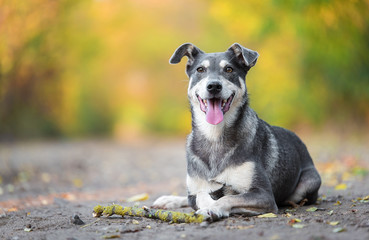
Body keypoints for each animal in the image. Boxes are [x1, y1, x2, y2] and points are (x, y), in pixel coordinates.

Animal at [151, 42, 320, 220]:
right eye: (200, 70)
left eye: (229, 69)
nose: (214, 86)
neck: (214, 136)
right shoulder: (195, 191)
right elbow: (201, 195)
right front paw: (207, 204)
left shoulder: (264, 195)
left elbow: (228, 197)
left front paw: (213, 208)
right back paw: (168, 200)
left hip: (309, 183)